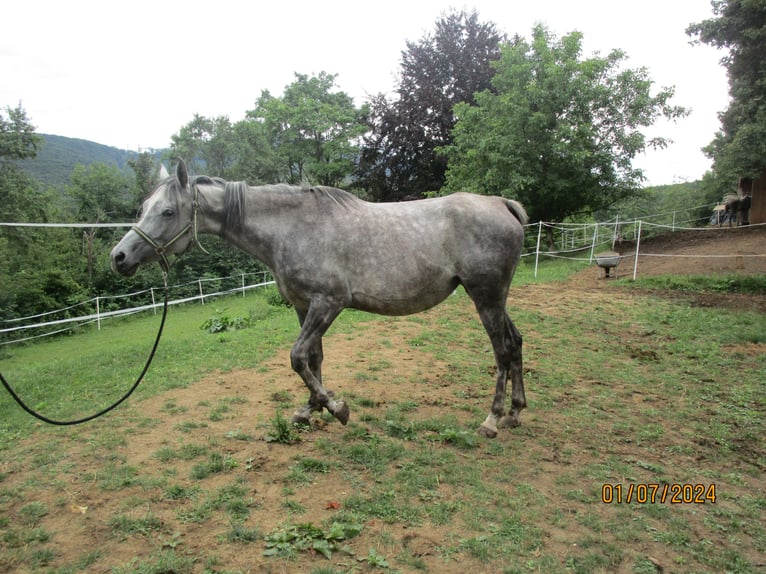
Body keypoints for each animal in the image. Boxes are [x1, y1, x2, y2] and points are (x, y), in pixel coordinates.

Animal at [111, 160, 532, 438]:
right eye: (144, 208)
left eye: (167, 211)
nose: (119, 257)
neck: (293, 228)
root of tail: (502, 204)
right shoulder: (303, 306)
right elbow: (313, 358)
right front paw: (311, 409)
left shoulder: (329, 303)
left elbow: (297, 356)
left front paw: (336, 408)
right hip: (495, 299)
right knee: (515, 343)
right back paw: (514, 412)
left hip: (485, 298)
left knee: (501, 351)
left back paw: (492, 420)